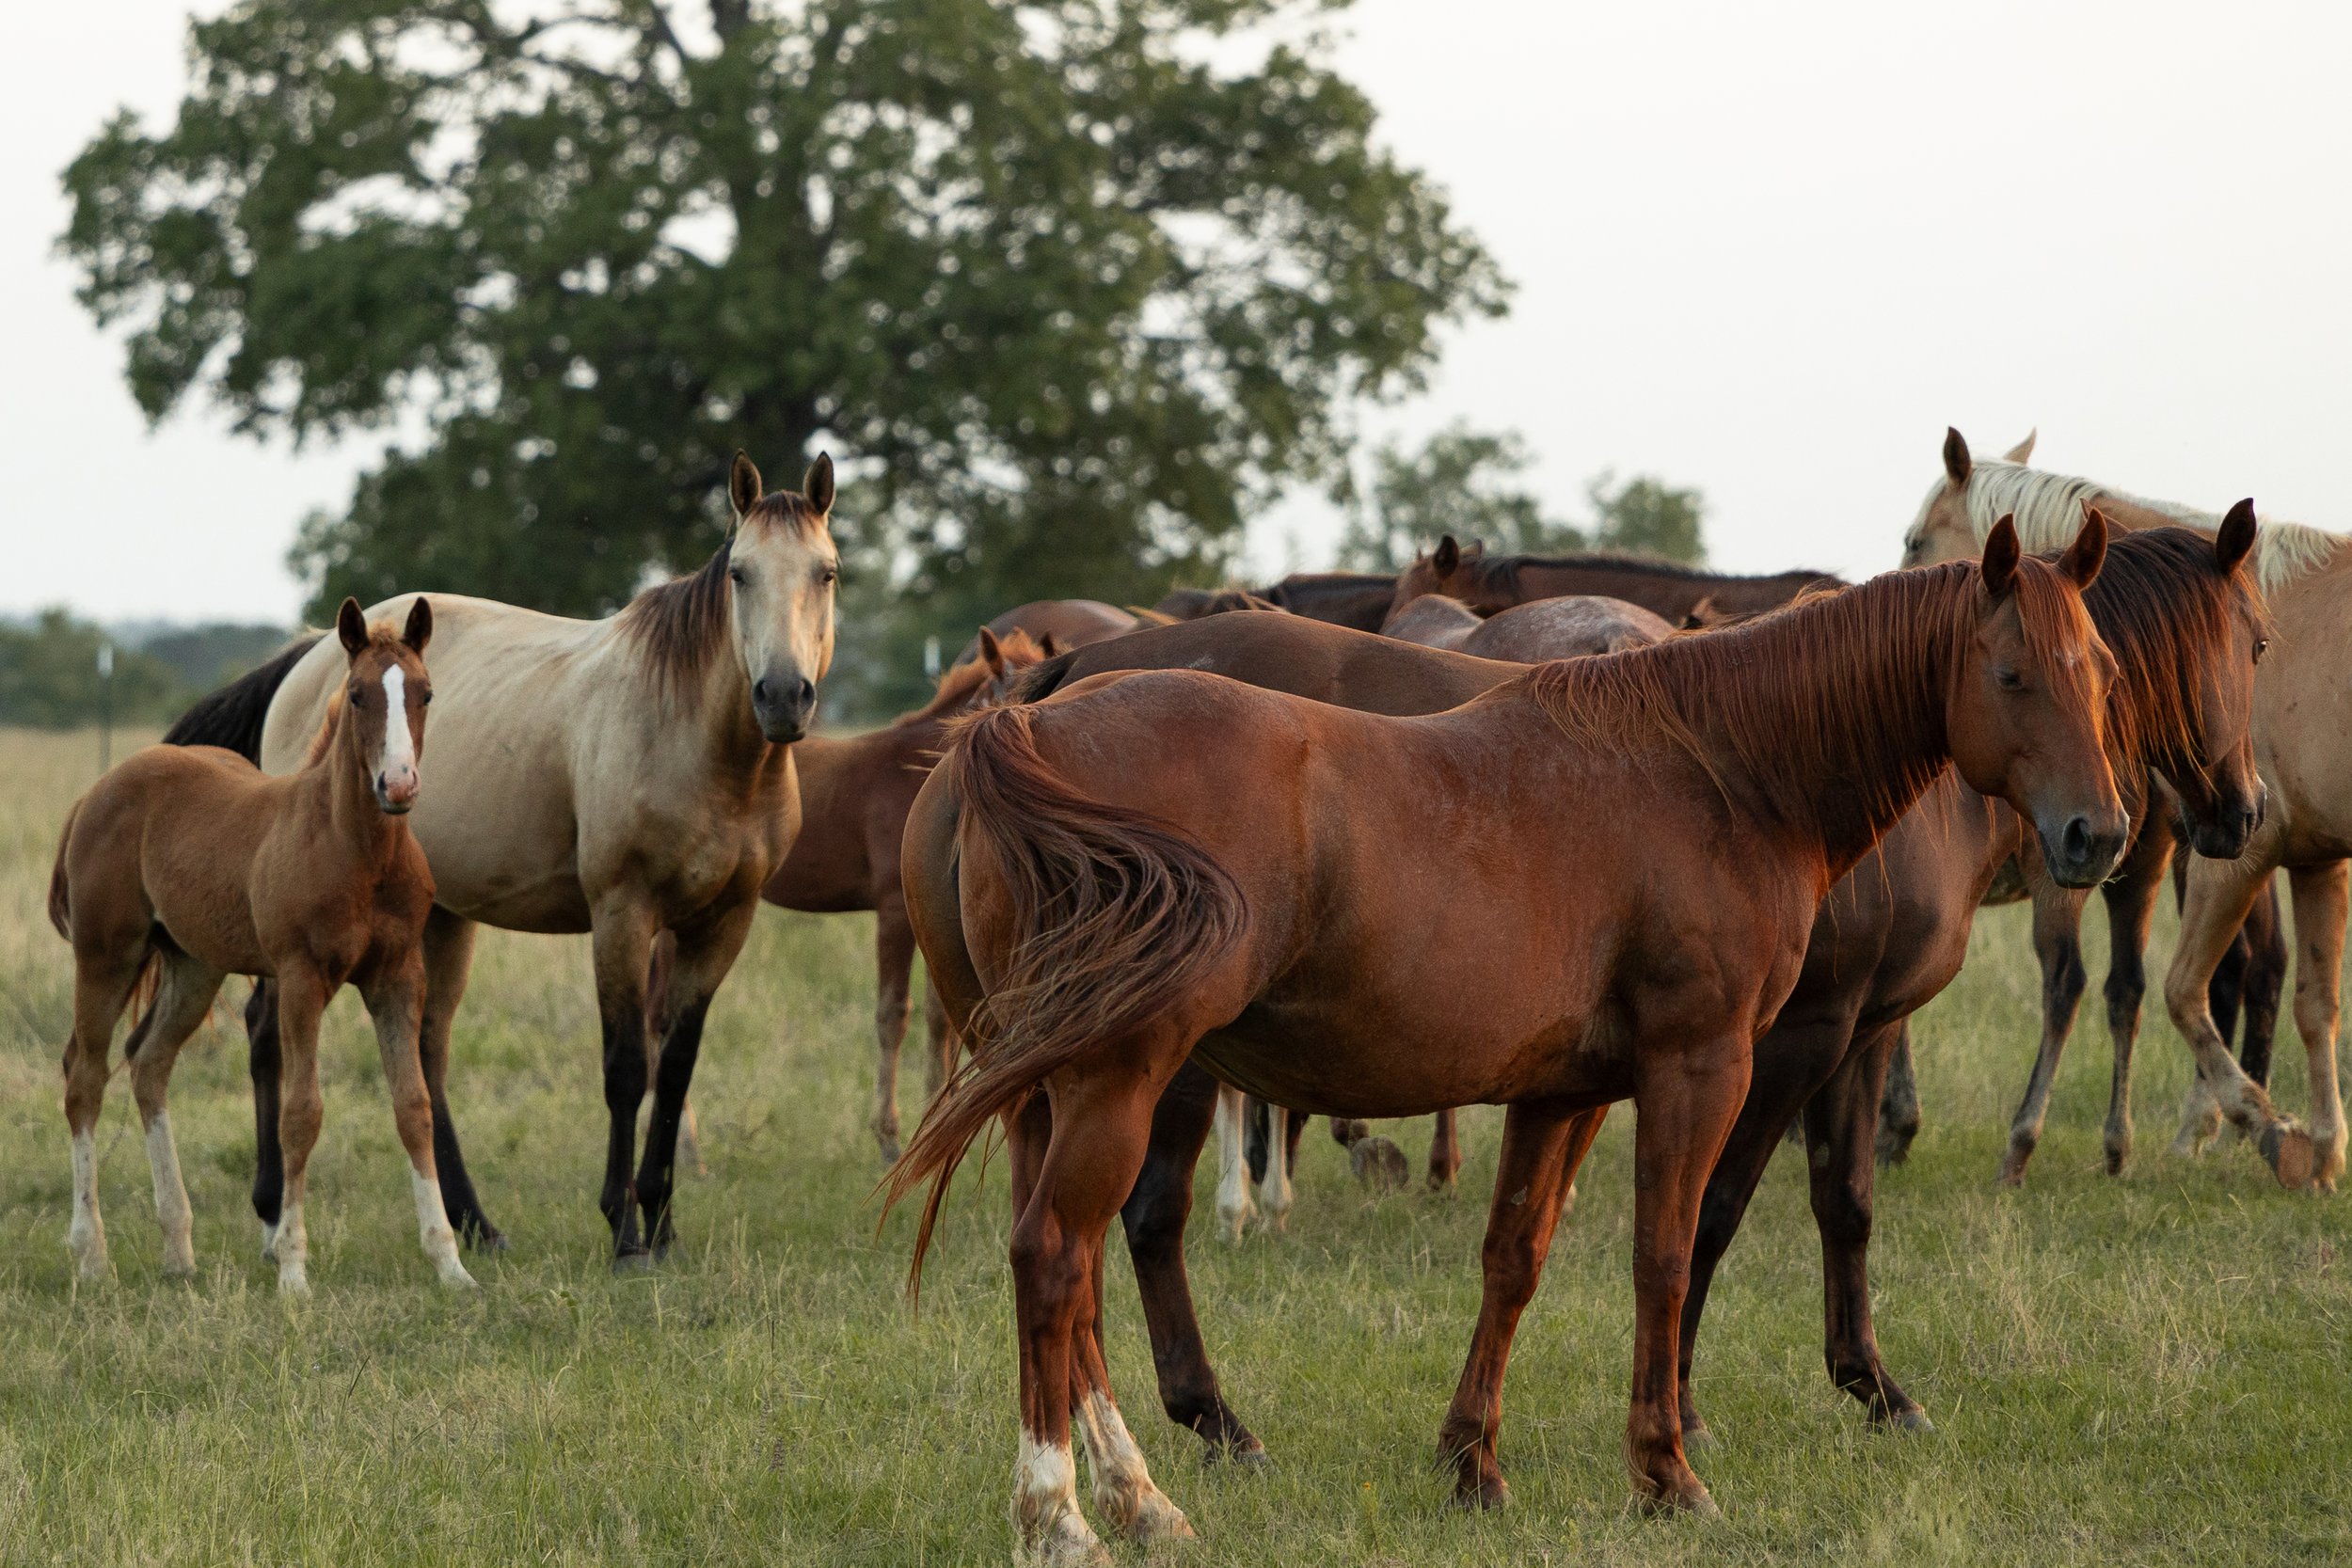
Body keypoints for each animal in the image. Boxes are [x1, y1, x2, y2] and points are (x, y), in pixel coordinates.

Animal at [49, 600, 472, 1293]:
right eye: (358, 694)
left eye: (426, 692)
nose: (398, 784)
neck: (357, 852)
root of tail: (97, 790)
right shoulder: (300, 977)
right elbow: (301, 1113)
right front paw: (293, 1269)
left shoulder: (397, 977)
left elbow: (414, 1107)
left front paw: (451, 1264)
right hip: (107, 954)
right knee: (84, 1076)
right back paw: (92, 1257)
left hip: (194, 967)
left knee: (148, 1061)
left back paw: (179, 1250)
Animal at [163, 453, 838, 1266]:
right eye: (740, 572)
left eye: (827, 572)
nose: (783, 696)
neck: (692, 735)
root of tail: (311, 657)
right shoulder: (622, 912)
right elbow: (626, 1068)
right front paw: (625, 1231)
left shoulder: (721, 921)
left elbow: (675, 1068)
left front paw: (663, 1223)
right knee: (268, 1028)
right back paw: (273, 1215)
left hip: (444, 917)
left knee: (426, 1052)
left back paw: (473, 1225)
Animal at [889, 520, 2125, 1555]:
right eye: (2011, 674)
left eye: (2102, 674)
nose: (2095, 834)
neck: (1715, 766)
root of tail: (1021, 721)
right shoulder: (1702, 1067)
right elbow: (1667, 1251)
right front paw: (1667, 1470)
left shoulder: (1560, 1092)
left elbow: (1513, 1258)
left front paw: (1470, 1463)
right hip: (1118, 1079)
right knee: (1058, 1254)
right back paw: (1062, 1513)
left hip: (1046, 1089)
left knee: (1077, 1273)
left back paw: (1138, 1495)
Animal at [1903, 428, 2351, 1187]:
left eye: (1915, 542)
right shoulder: (2315, 858)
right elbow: (2315, 1005)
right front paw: (2321, 1153)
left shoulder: (2239, 852)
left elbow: (2184, 989)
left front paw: (2260, 1127)